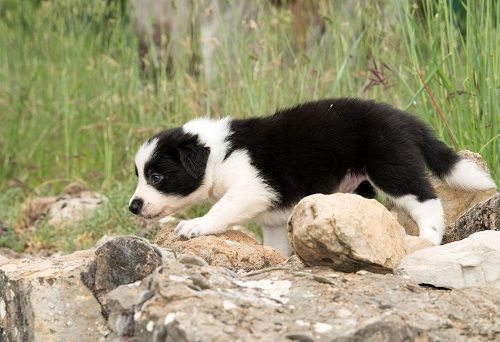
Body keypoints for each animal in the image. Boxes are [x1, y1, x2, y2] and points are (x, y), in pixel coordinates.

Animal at [129, 97, 496, 255]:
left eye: (156, 177)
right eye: (140, 176)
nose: (133, 206)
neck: (217, 153)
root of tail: (404, 118)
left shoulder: (251, 188)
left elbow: (221, 209)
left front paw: (196, 226)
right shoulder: (272, 220)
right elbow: (276, 246)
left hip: (389, 165)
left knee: (426, 199)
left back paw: (428, 238)